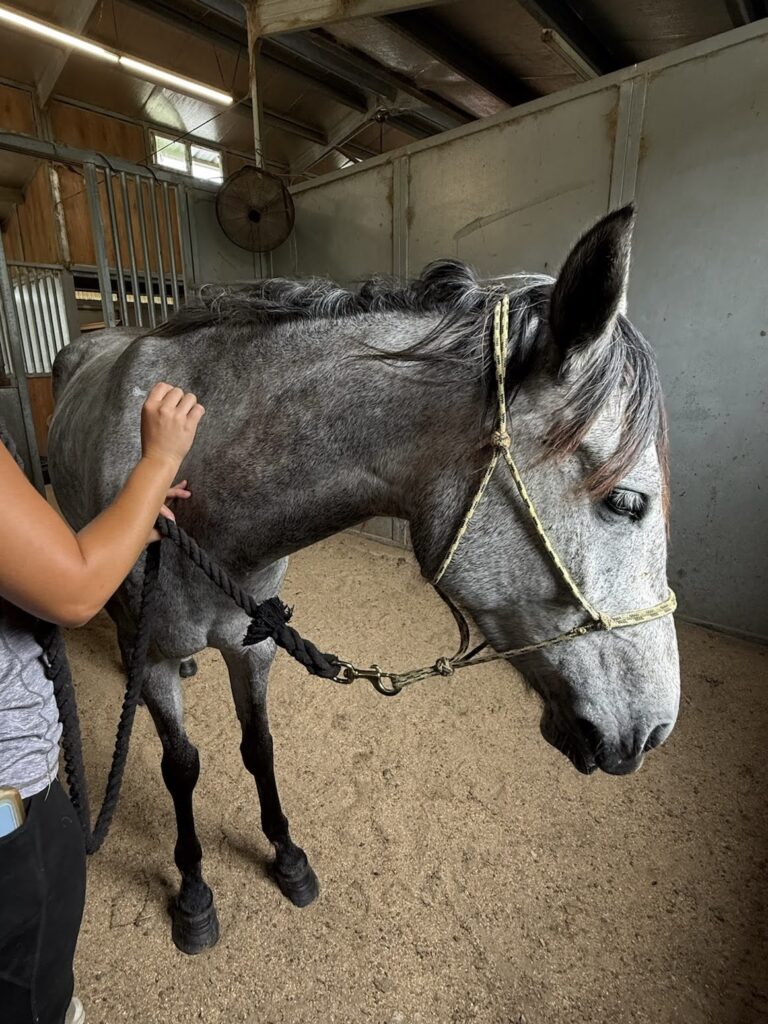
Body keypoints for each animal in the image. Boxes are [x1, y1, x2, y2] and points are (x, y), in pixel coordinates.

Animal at [48, 205, 680, 954]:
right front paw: (195, 891)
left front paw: (287, 856)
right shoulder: (157, 659)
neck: (196, 485)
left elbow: (258, 747)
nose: (655, 731)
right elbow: (182, 766)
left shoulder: (253, 642)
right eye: (627, 502)